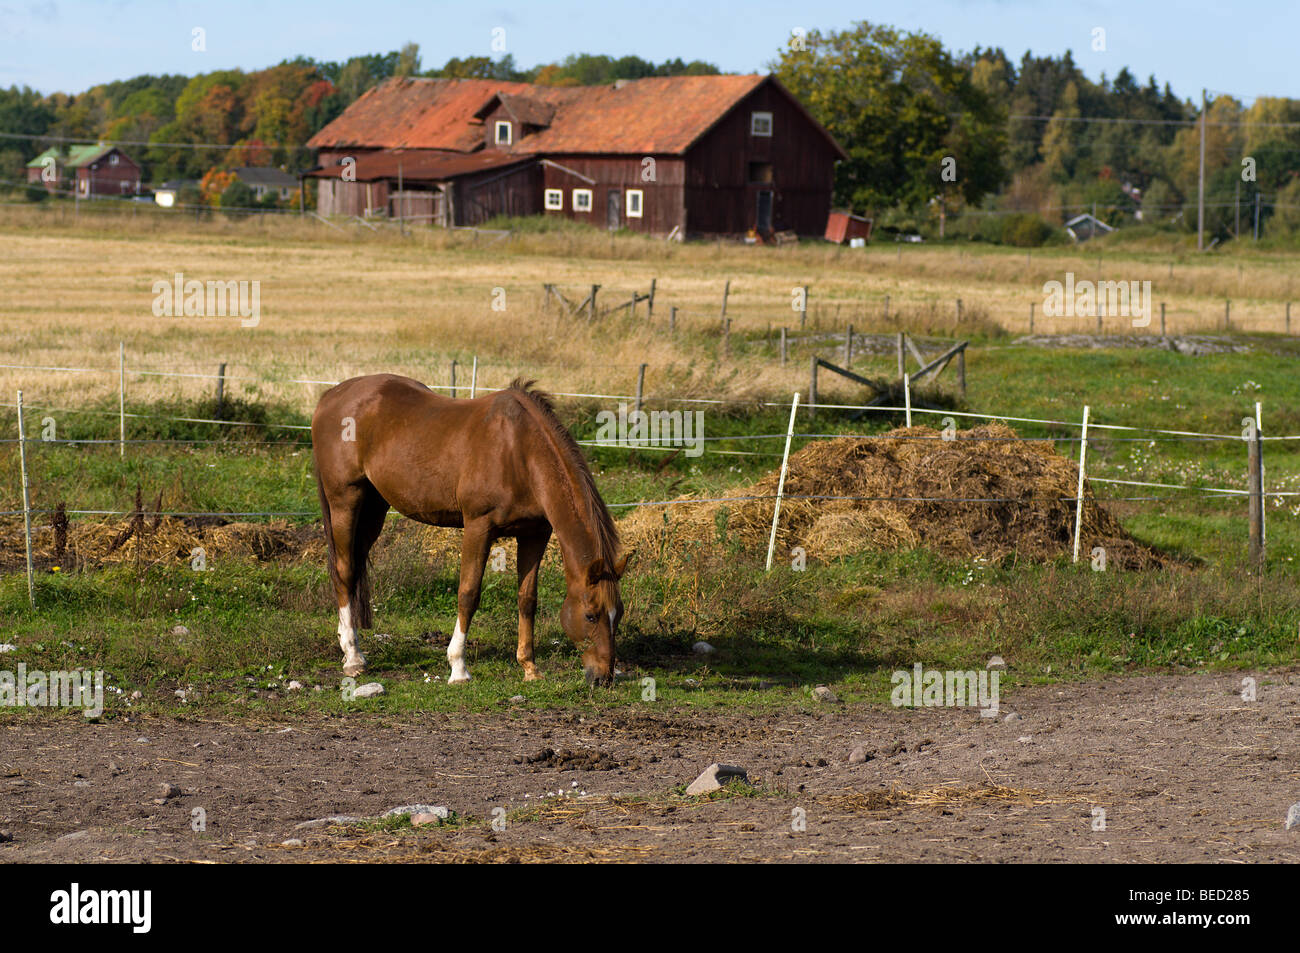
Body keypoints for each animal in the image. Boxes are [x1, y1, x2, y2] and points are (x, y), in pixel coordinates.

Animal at [309, 374, 624, 686]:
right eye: (591, 616)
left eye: (618, 615)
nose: (603, 677)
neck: (519, 451)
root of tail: (330, 396)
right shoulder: (478, 527)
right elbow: (468, 594)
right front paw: (458, 667)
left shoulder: (535, 534)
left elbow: (527, 598)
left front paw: (529, 667)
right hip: (345, 500)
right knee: (345, 570)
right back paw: (353, 658)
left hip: (374, 507)